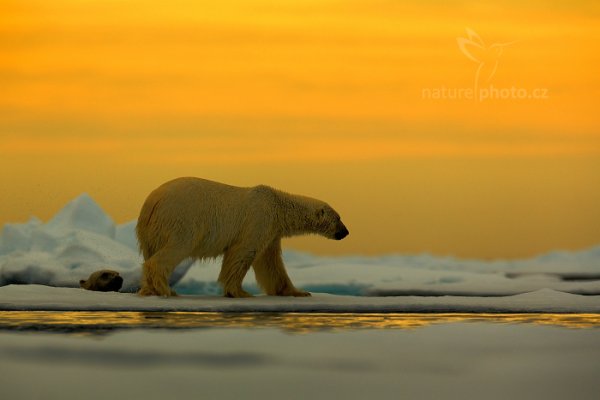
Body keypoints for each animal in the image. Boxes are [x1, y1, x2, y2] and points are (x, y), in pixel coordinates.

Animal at [135, 178, 346, 296]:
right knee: (176, 248)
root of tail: (152, 201)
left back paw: (149, 289)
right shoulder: (258, 219)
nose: (346, 232)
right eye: (338, 218)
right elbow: (242, 253)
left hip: (150, 231)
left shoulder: (271, 231)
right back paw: (166, 289)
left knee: (149, 253)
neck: (277, 206)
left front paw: (298, 292)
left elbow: (270, 263)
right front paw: (239, 292)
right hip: (182, 218)